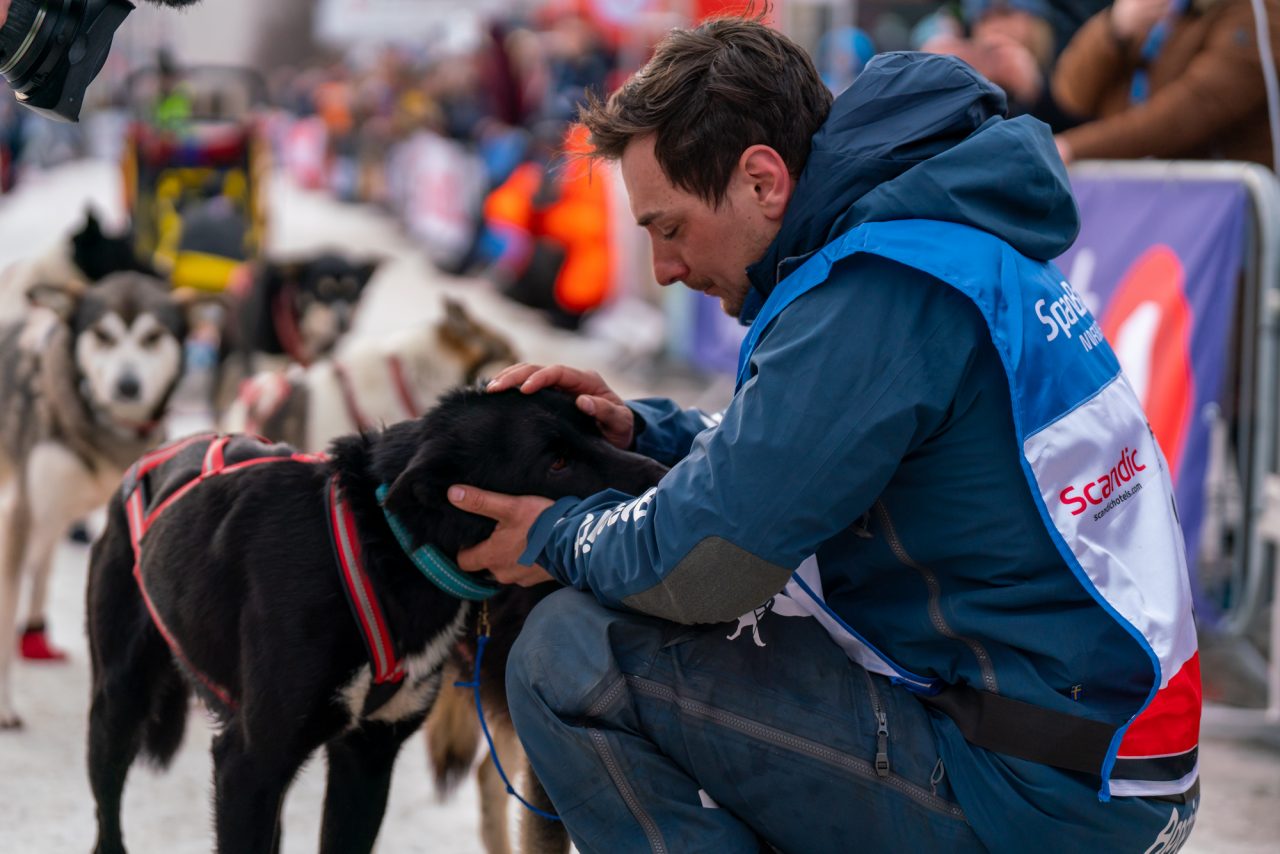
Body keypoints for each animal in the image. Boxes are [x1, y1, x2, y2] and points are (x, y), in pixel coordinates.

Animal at [85, 386, 665, 854]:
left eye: (597, 427)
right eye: (556, 462)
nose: (665, 478)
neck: (381, 554)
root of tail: (158, 453)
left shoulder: (367, 758)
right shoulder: (250, 763)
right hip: (119, 703)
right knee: (107, 817)